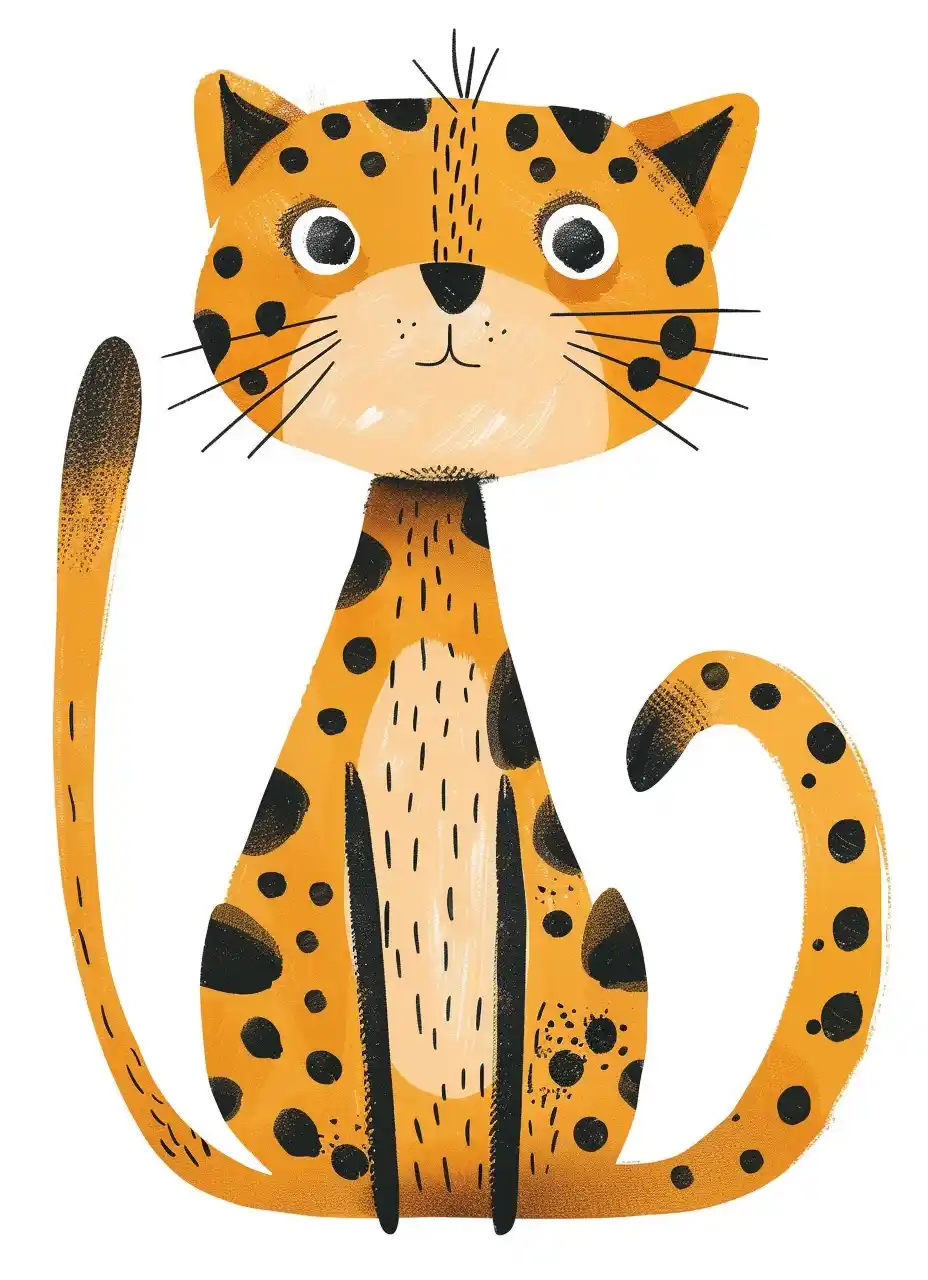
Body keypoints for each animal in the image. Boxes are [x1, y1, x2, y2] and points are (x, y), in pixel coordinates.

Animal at [54, 37, 884, 1234]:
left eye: (581, 242)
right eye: (325, 238)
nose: (451, 281)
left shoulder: (511, 826)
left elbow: (509, 932)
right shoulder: (345, 810)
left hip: (604, 951)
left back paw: (496, 1195)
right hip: (251, 954)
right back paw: (383, 1195)